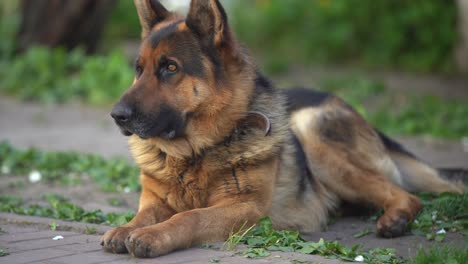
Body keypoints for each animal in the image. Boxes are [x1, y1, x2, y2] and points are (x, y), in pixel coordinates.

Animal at [102, 0, 464, 256]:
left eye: (170, 68)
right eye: (138, 70)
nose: (116, 115)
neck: (195, 152)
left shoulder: (244, 208)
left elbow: (189, 217)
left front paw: (153, 236)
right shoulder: (154, 200)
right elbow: (144, 215)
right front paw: (127, 228)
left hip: (313, 133)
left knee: (407, 195)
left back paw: (395, 219)